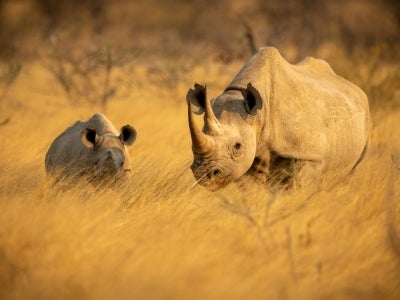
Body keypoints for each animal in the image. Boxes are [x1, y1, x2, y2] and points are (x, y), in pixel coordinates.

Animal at [187, 47, 368, 191]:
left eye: (238, 146)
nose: (203, 175)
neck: (259, 112)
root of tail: (357, 89)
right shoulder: (250, 154)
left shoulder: (310, 155)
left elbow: (297, 188)